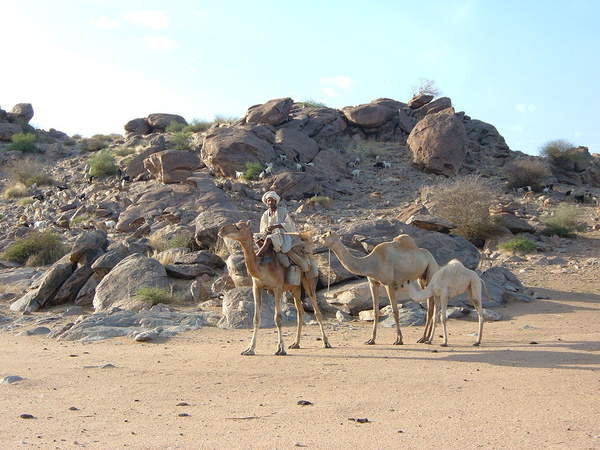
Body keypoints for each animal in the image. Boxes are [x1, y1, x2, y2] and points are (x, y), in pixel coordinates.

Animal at [218, 221, 330, 356]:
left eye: (238, 227)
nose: (222, 230)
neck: (261, 267)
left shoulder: (278, 288)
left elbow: (278, 318)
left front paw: (281, 349)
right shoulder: (257, 287)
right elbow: (256, 318)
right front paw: (249, 349)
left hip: (309, 281)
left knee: (316, 311)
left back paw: (326, 343)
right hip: (295, 289)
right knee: (300, 312)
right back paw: (296, 344)